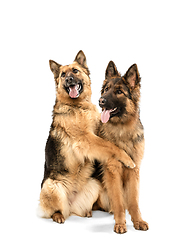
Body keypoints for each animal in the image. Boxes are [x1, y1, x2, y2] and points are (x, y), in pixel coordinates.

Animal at [37, 51, 135, 226]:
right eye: (63, 75)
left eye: (75, 71)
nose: (69, 80)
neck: (78, 106)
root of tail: (70, 204)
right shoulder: (85, 139)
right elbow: (110, 146)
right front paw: (127, 159)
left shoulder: (95, 132)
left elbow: (107, 141)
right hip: (51, 185)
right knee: (54, 211)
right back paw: (58, 215)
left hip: (94, 184)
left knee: (79, 211)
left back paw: (88, 212)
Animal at [93, 61, 150, 233]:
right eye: (106, 89)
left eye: (119, 92)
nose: (101, 101)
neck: (122, 130)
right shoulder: (113, 171)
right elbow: (118, 200)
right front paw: (120, 223)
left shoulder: (134, 170)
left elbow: (133, 200)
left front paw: (138, 220)